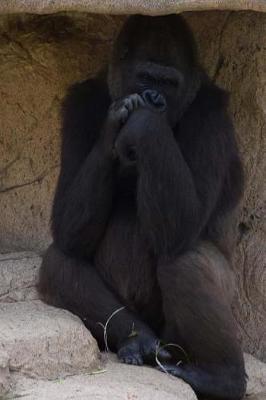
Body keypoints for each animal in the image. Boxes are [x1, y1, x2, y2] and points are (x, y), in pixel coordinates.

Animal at [39, 14, 247, 398]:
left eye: (169, 82)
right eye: (147, 77)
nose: (155, 99)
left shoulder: (211, 114)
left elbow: (185, 225)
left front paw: (146, 120)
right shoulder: (79, 103)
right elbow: (66, 228)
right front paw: (115, 124)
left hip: (193, 330)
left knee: (186, 261)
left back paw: (222, 377)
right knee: (60, 261)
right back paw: (137, 340)